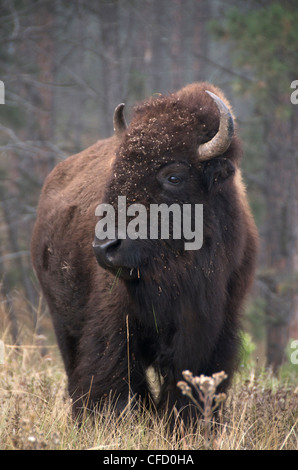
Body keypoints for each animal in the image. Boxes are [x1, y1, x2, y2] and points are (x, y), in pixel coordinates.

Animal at [30, 81, 258, 422]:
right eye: (117, 167)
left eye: (174, 176)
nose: (104, 247)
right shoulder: (114, 325)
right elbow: (113, 377)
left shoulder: (216, 330)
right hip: (62, 321)